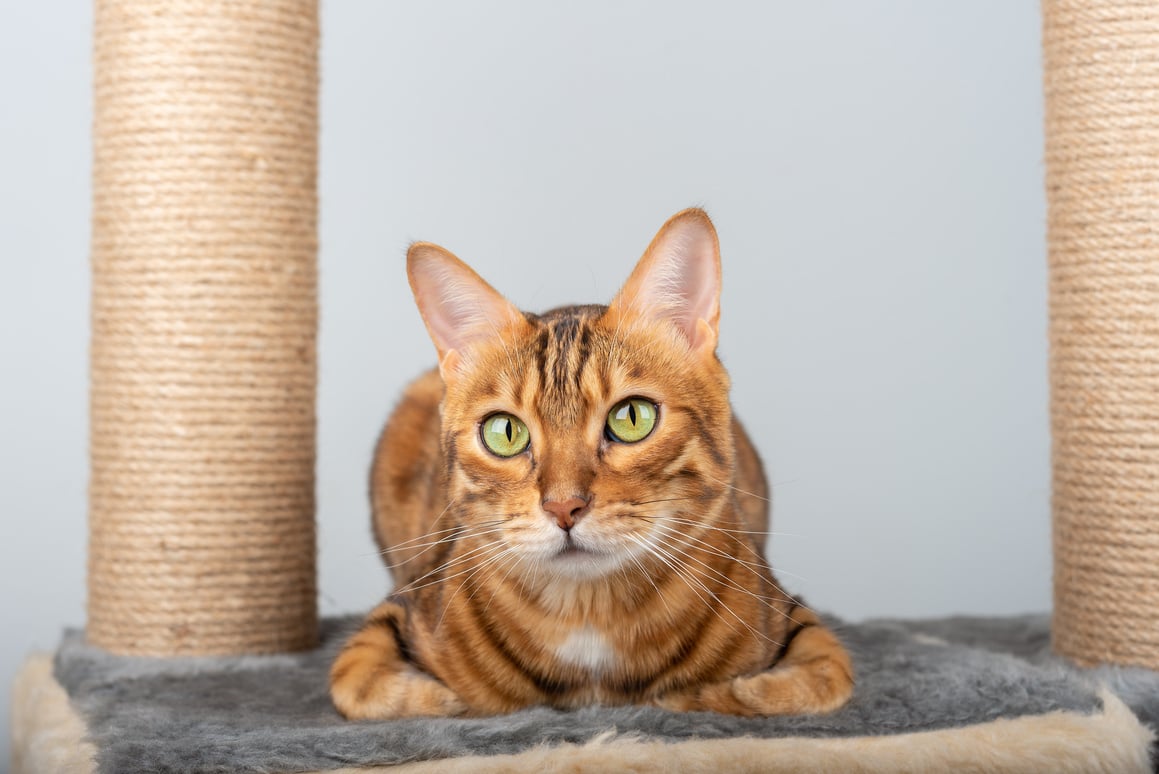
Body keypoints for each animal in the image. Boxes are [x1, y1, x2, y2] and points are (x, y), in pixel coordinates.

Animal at [331, 207, 857, 718]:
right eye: (505, 432)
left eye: (632, 417)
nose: (564, 507)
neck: (589, 616)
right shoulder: (389, 622)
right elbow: (380, 690)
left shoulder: (799, 623)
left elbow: (800, 685)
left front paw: (689, 695)